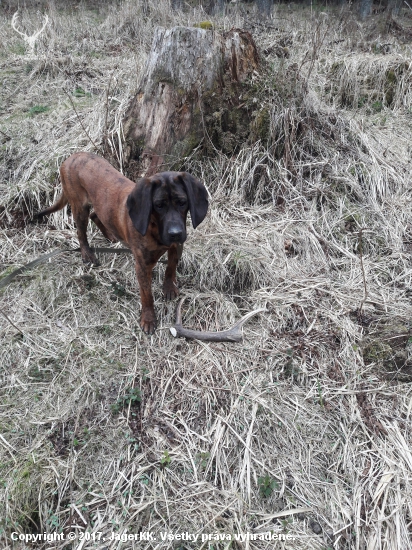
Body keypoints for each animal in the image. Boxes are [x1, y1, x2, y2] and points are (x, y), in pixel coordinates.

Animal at [36, 155, 208, 336]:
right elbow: (147, 295)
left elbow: (171, 267)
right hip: (79, 207)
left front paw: (169, 287)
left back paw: (111, 235)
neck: (154, 228)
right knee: (81, 232)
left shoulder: (176, 247)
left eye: (182, 202)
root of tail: (71, 157)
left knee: (95, 214)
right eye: (159, 205)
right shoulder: (142, 266)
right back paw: (87, 254)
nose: (175, 233)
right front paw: (148, 319)